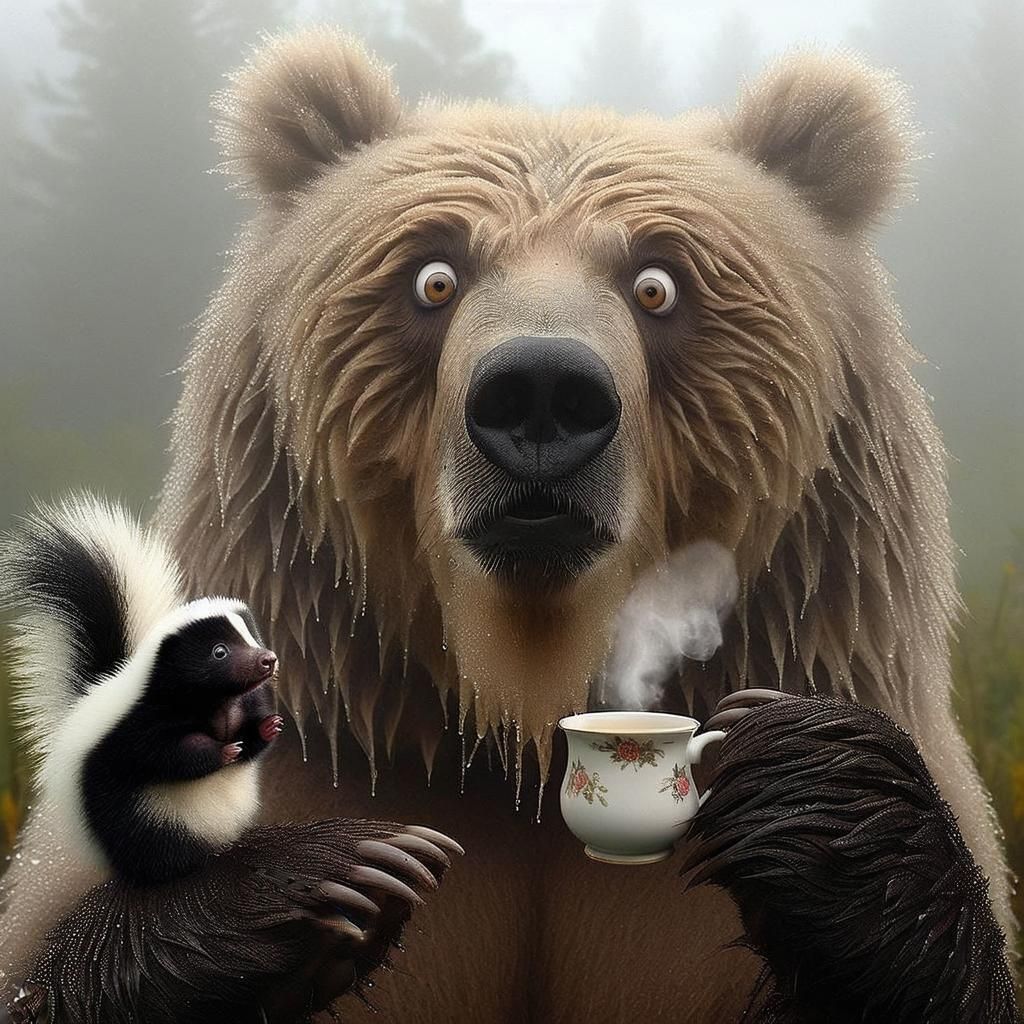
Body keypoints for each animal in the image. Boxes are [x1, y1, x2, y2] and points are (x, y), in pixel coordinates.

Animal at [1, 27, 1015, 1023]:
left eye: (658, 283)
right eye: (434, 276)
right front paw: (325, 880)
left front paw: (811, 784)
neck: (512, 727)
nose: (540, 392)